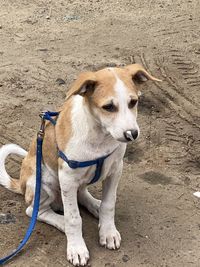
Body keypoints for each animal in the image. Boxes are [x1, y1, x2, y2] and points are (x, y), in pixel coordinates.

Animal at [0, 64, 160, 266]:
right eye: (108, 107)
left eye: (133, 102)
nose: (132, 134)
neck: (100, 135)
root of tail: (21, 185)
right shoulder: (67, 178)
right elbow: (74, 218)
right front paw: (76, 247)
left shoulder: (115, 170)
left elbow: (109, 204)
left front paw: (107, 231)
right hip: (43, 182)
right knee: (35, 211)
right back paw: (61, 222)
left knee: (82, 194)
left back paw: (95, 206)